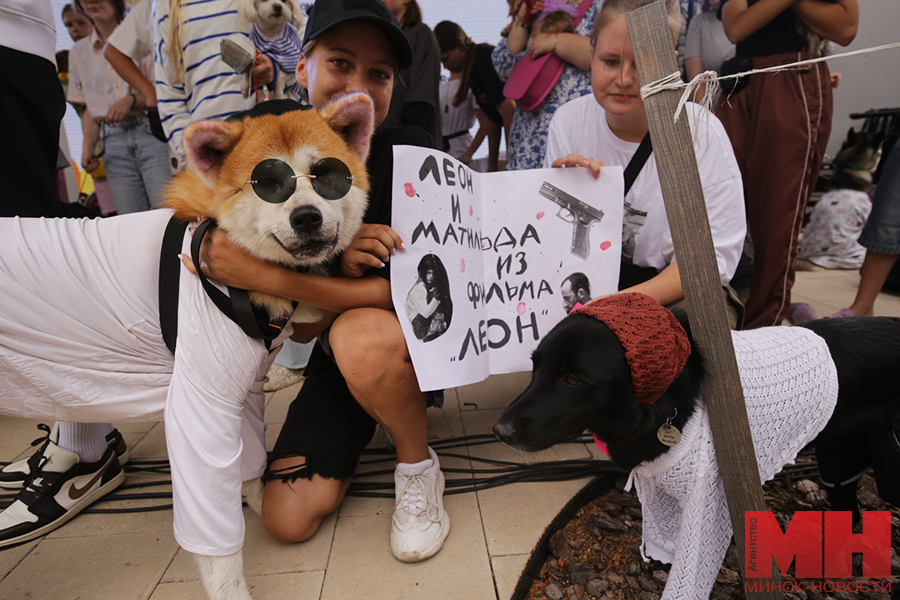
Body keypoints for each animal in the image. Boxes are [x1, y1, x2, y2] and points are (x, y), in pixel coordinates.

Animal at [0, 94, 374, 600]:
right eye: (267, 183)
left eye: (327, 175)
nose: (306, 217)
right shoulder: (199, 408)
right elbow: (215, 541)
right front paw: (231, 586)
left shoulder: (241, 393)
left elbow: (250, 465)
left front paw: (258, 502)